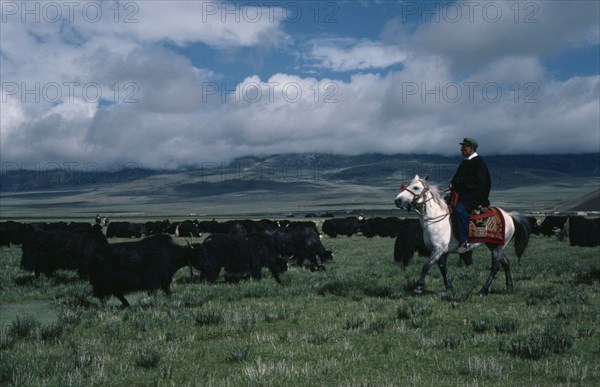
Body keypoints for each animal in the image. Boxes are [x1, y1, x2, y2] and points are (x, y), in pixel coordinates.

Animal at [396, 176, 532, 298]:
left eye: (416, 187)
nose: (398, 200)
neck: (435, 220)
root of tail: (508, 215)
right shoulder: (441, 252)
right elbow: (443, 269)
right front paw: (449, 288)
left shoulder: (437, 250)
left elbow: (426, 266)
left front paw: (417, 289)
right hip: (495, 245)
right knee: (506, 263)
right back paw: (509, 286)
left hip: (496, 247)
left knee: (495, 267)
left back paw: (483, 290)